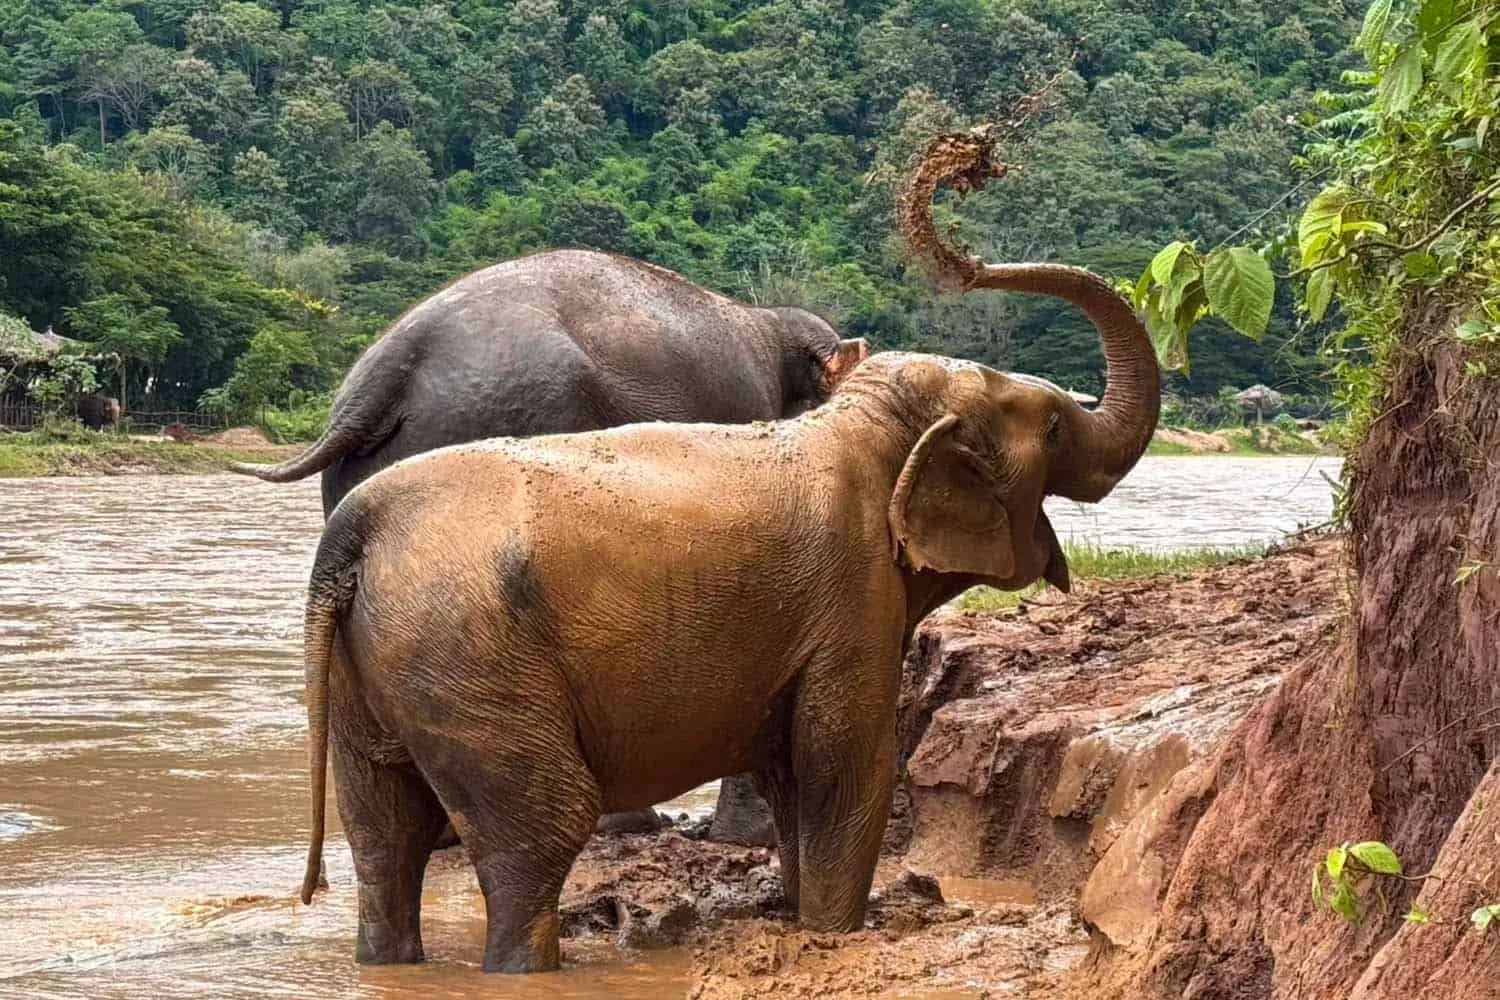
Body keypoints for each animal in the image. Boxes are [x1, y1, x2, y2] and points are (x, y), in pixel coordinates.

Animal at [294, 259, 1160, 972]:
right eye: (1054, 425)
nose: (970, 261)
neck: (859, 424)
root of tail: (351, 538)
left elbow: (792, 770)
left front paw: (799, 914)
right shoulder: (852, 592)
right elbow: (843, 765)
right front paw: (835, 932)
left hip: (384, 670)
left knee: (386, 837)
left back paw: (389, 960)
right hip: (472, 662)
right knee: (541, 830)